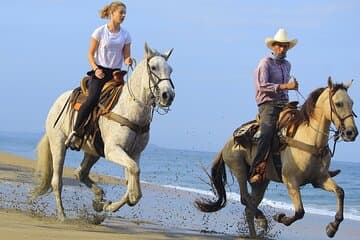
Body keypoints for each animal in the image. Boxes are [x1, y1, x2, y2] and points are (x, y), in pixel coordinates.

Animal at [31, 43, 175, 221]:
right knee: (57, 181)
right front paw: (112, 204)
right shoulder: (113, 150)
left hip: (93, 151)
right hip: (58, 144)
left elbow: (131, 184)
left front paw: (105, 205)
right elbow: (134, 176)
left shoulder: (134, 153)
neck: (131, 109)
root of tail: (56, 103)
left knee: (81, 173)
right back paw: (62, 215)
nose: (168, 95)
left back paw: (98, 197)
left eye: (170, 70)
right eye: (154, 67)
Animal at [197, 78, 358, 237]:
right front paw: (280, 217)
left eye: (352, 103)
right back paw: (262, 219)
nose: (351, 133)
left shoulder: (319, 179)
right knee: (245, 199)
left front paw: (332, 228)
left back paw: (257, 230)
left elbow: (340, 192)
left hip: (261, 182)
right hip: (239, 169)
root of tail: (227, 144)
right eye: (338, 103)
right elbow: (300, 212)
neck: (310, 140)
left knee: (250, 206)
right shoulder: (290, 181)